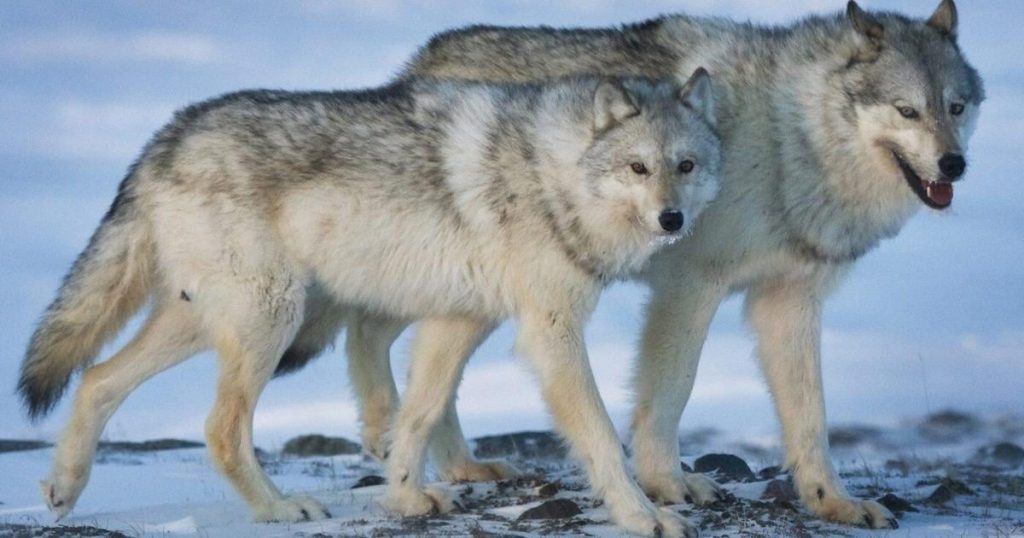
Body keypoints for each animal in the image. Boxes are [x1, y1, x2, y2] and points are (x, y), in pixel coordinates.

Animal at [19, 72, 721, 537]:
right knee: (219, 427)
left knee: (96, 379)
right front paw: (644, 515)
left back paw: (63, 489)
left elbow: (417, 414)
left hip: (210, 318)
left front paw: (406, 499)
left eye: (686, 165)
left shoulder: (457, 321)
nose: (672, 220)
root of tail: (166, 136)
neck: (552, 175)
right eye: (637, 168)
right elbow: (601, 436)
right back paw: (278, 509)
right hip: (270, 317)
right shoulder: (551, 333)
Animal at [273, 0, 984, 530]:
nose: (954, 165)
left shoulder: (788, 300)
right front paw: (666, 485)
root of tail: (418, 64)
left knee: (393, 343)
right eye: (907, 110)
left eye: (955, 106)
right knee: (370, 332)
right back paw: (388, 437)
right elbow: (670, 390)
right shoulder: (691, 285)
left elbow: (810, 416)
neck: (791, 140)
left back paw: (452, 465)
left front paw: (832, 502)